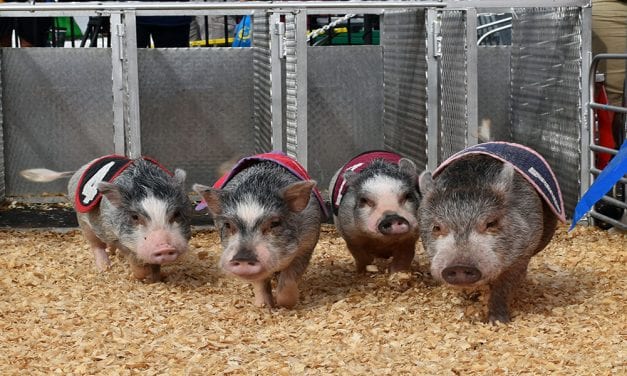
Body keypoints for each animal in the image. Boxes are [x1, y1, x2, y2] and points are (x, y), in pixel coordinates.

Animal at [20, 156, 193, 282]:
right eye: (135, 217)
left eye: (177, 214)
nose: (165, 247)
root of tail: (80, 169)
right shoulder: (115, 235)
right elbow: (135, 260)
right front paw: (140, 277)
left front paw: (159, 278)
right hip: (83, 221)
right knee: (96, 245)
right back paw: (105, 268)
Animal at [194, 152, 326, 308]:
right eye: (227, 225)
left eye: (275, 223)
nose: (243, 258)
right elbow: (259, 283)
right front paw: (263, 306)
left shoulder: (307, 243)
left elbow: (289, 277)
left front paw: (286, 305)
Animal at [420, 142, 568, 324]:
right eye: (437, 227)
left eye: (491, 223)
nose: (459, 266)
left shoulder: (523, 252)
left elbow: (505, 285)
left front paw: (497, 321)